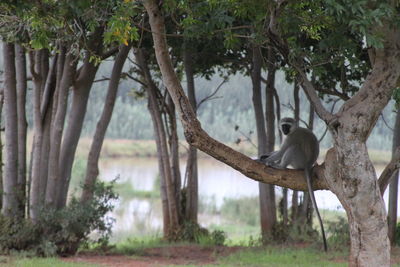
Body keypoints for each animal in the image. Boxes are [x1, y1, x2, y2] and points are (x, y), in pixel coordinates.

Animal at [260, 116, 328, 251]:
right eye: (283, 125)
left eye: (287, 126)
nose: (284, 130)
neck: (293, 130)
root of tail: (308, 165)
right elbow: (278, 151)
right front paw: (264, 155)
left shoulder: (291, 137)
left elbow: (281, 152)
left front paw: (263, 160)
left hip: (299, 161)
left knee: (292, 148)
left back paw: (280, 166)